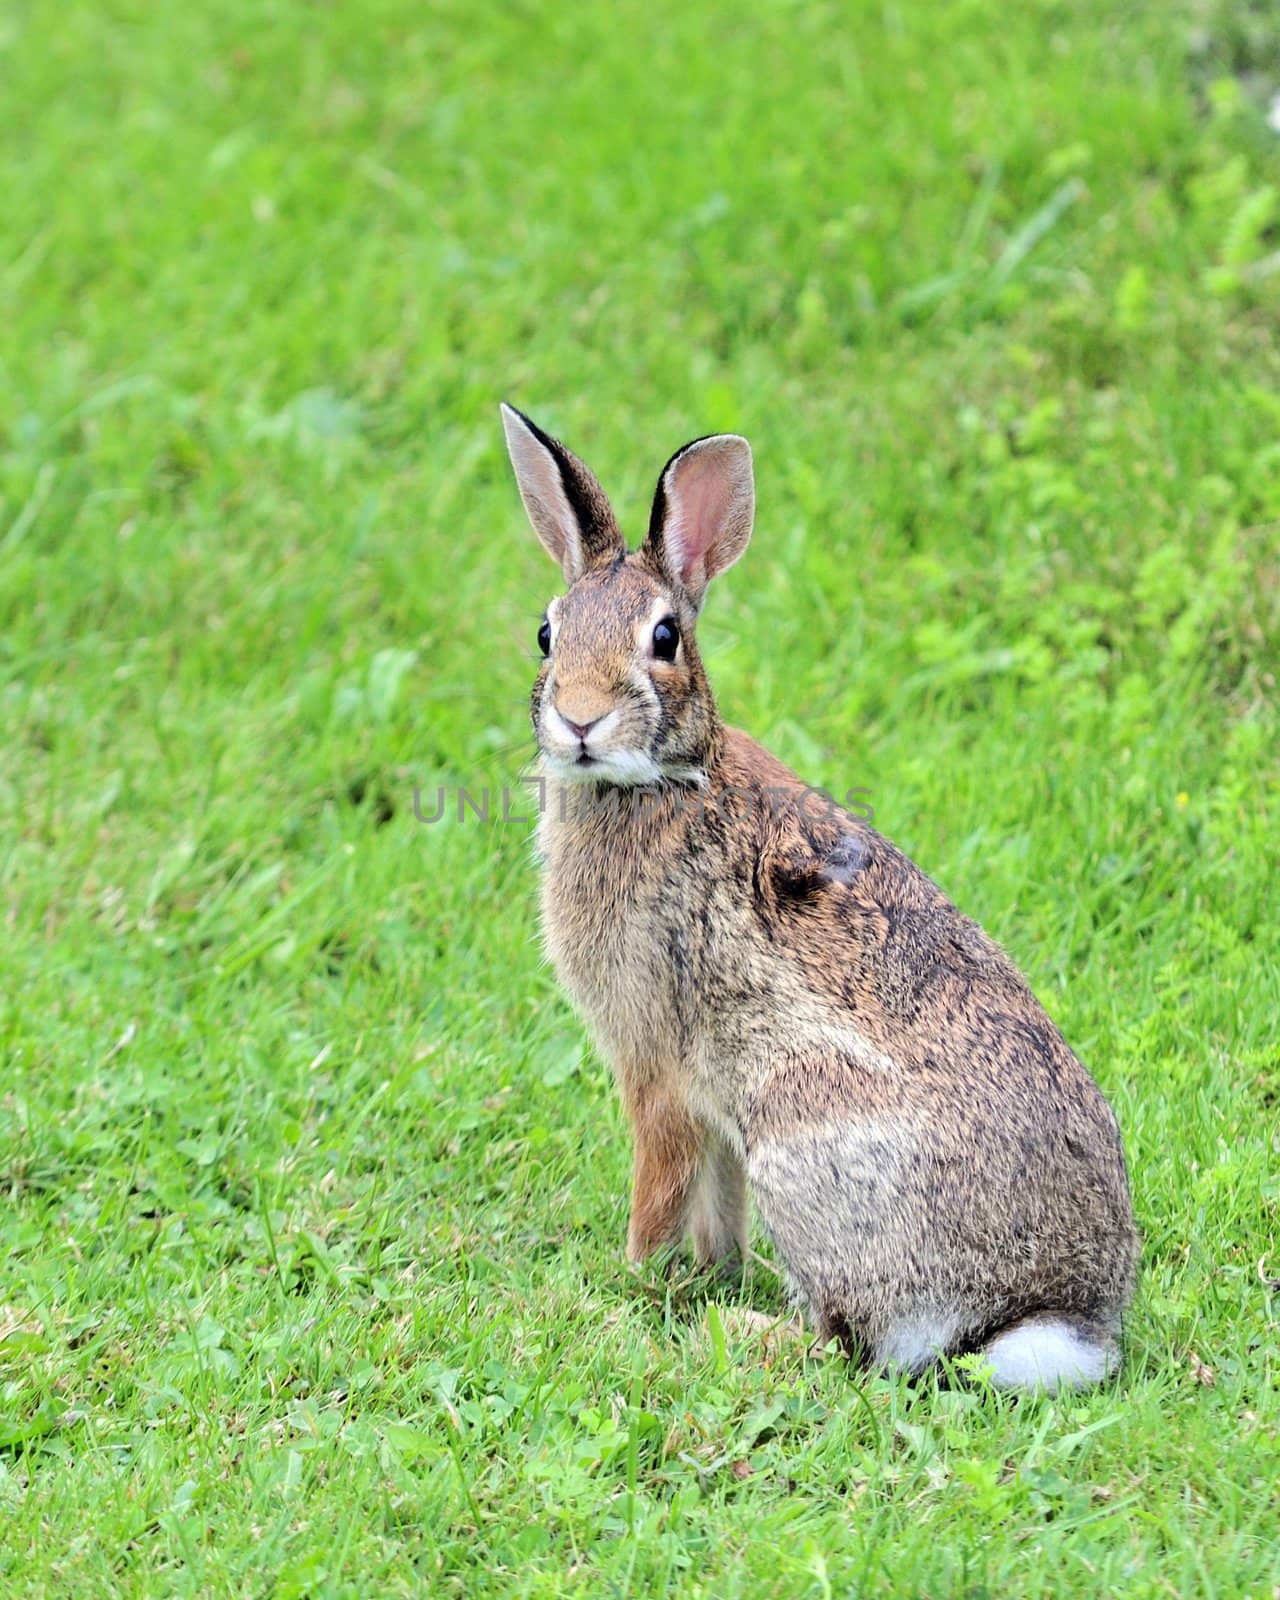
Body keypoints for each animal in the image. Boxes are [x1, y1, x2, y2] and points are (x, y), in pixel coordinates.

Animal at [499, 400, 1139, 1388]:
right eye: (546, 632)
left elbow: (659, 1187)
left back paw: (741, 1333)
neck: (666, 780)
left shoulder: (656, 1066)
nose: (577, 718)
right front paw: (710, 1274)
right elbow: (715, 1206)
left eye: (664, 639)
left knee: (846, 1345)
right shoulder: (709, 1106)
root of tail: (1050, 1318)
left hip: (799, 1118)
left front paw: (628, 1286)